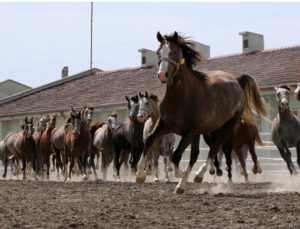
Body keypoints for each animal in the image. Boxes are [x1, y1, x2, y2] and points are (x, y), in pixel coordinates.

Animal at [136, 31, 268, 193]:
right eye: (158, 52)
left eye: (173, 51)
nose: (162, 75)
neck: (182, 96)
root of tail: (236, 81)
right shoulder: (165, 125)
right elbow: (149, 141)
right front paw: (140, 175)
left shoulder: (191, 131)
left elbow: (176, 155)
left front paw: (179, 174)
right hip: (206, 132)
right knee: (200, 153)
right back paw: (189, 181)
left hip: (228, 127)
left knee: (214, 148)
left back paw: (197, 176)